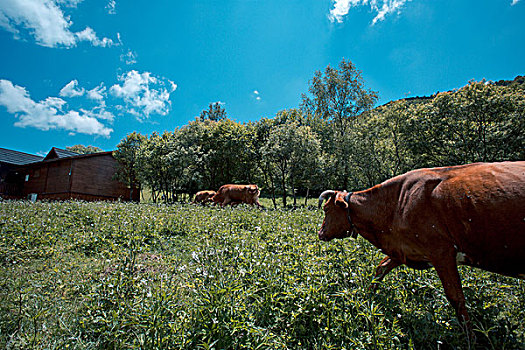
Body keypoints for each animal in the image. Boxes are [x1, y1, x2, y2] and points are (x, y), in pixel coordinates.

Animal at [318, 161, 520, 330]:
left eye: (326, 209)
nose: (320, 233)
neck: (396, 205)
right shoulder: (404, 249)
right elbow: (381, 268)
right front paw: (368, 300)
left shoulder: (441, 252)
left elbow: (456, 298)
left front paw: (471, 338)